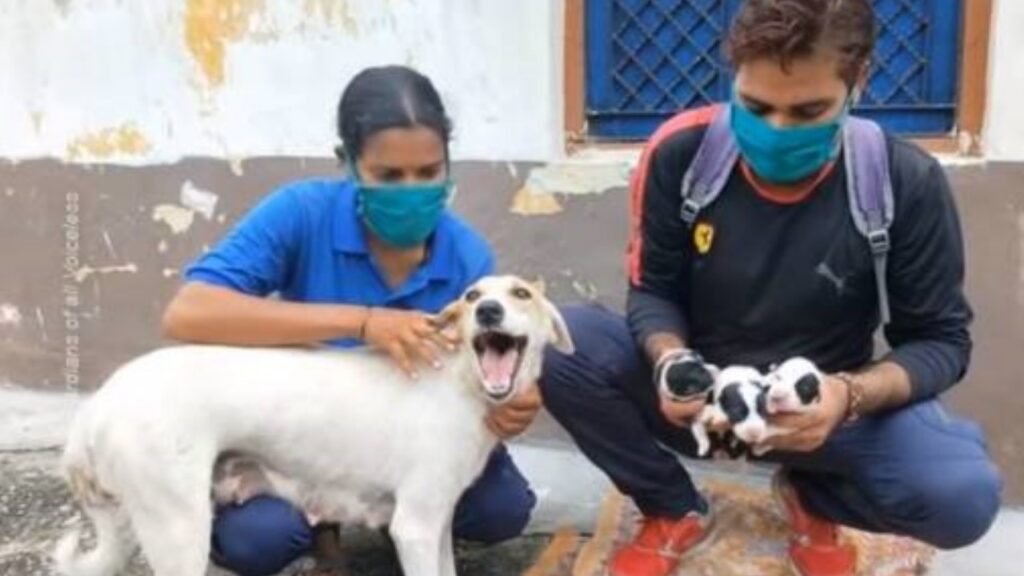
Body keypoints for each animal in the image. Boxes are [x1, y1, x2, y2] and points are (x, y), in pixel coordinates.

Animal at [54, 272, 577, 573]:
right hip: (179, 529)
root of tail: (97, 405)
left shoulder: (437, 520)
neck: (460, 380)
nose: (488, 311)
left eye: (521, 294)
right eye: (471, 297)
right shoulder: (415, 527)